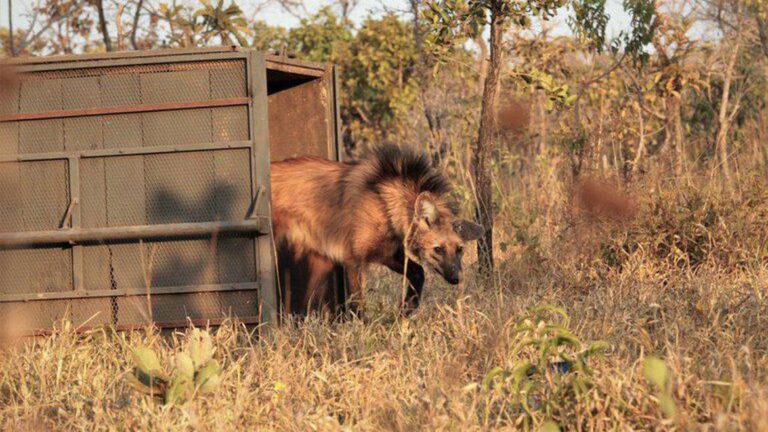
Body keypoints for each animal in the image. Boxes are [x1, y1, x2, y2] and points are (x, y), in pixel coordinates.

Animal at [270, 144, 484, 315]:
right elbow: (357, 305)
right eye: (438, 249)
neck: (384, 205)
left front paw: (406, 310)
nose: (456, 278)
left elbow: (418, 272)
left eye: (460, 249)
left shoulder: (386, 252)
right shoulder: (354, 260)